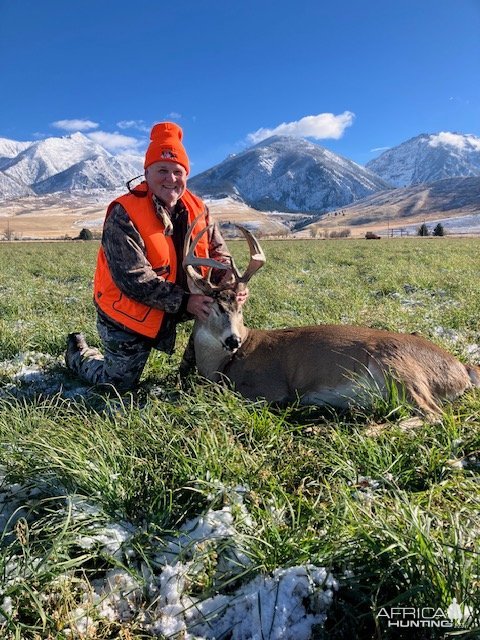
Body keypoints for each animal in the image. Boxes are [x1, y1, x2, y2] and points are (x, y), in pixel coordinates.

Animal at [183, 216, 480, 420]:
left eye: (240, 308)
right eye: (213, 307)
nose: (233, 340)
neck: (221, 365)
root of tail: (462, 367)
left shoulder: (268, 387)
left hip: (398, 367)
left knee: (434, 415)